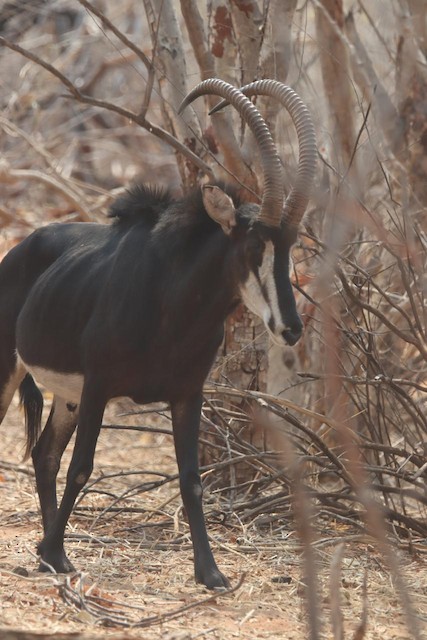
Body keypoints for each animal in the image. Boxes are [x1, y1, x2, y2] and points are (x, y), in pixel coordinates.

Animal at [0, 79, 316, 589]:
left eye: (289, 247)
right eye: (253, 245)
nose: (290, 328)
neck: (171, 305)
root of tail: (22, 247)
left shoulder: (187, 393)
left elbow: (192, 479)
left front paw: (211, 572)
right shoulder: (99, 385)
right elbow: (82, 468)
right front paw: (50, 548)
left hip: (67, 396)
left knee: (44, 453)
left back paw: (55, 558)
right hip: (12, 371)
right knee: (49, 454)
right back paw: (52, 552)